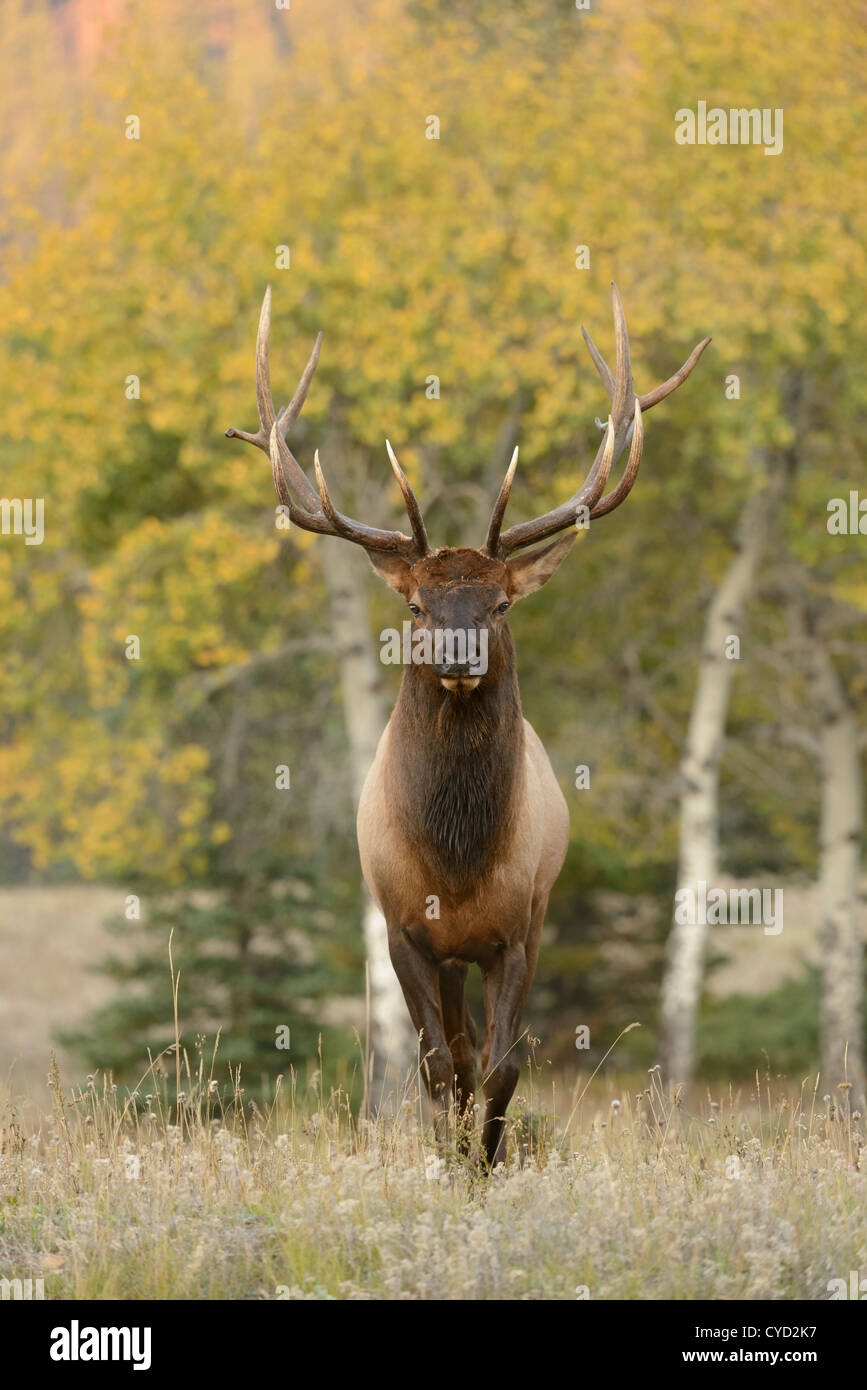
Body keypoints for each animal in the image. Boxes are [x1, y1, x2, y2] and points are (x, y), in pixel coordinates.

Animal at [226, 287, 708, 1167]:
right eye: (418, 604)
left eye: (502, 603)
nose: (457, 652)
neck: (454, 862)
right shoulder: (402, 930)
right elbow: (437, 1068)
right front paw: (450, 1163)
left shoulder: (517, 930)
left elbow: (501, 1065)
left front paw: (485, 1164)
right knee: (445, 1053)